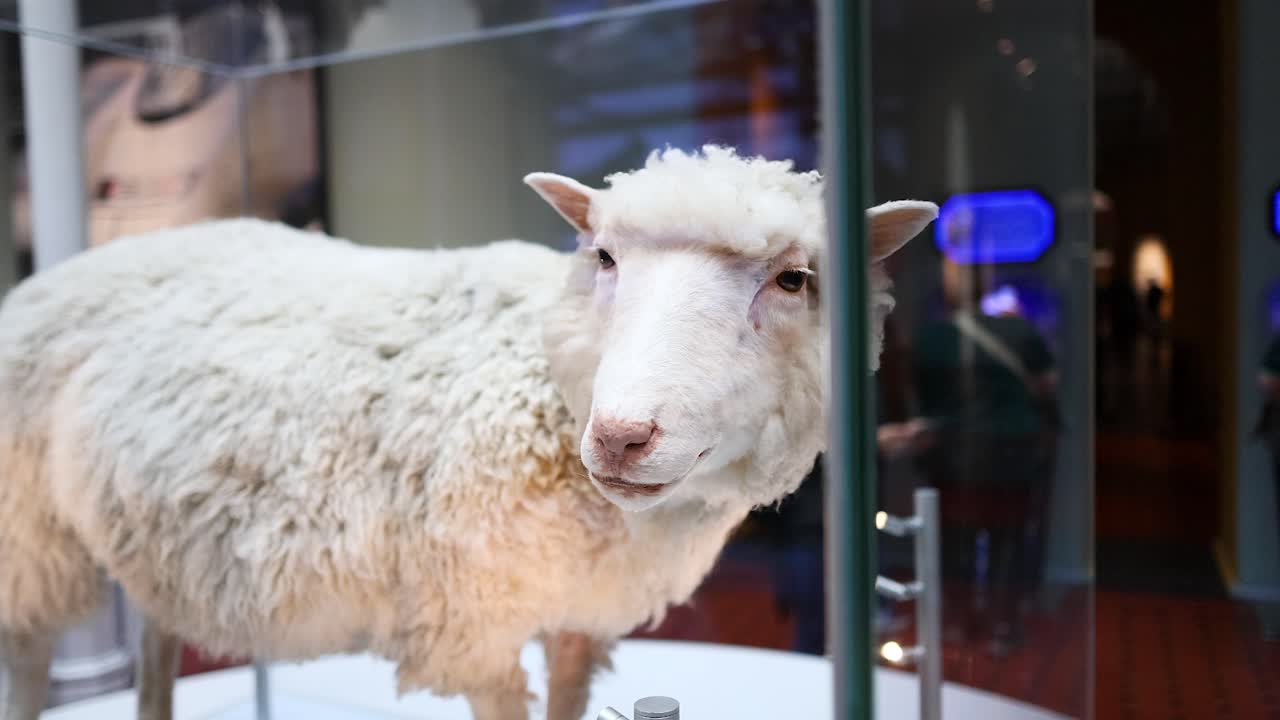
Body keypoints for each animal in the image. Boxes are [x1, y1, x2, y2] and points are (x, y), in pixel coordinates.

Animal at [0, 145, 936, 720]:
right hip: (30, 535)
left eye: (794, 279)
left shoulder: (578, 619)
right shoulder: (473, 624)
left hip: (148, 526)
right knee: (31, 657)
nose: (622, 437)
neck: (541, 388)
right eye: (603, 258)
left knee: (156, 634)